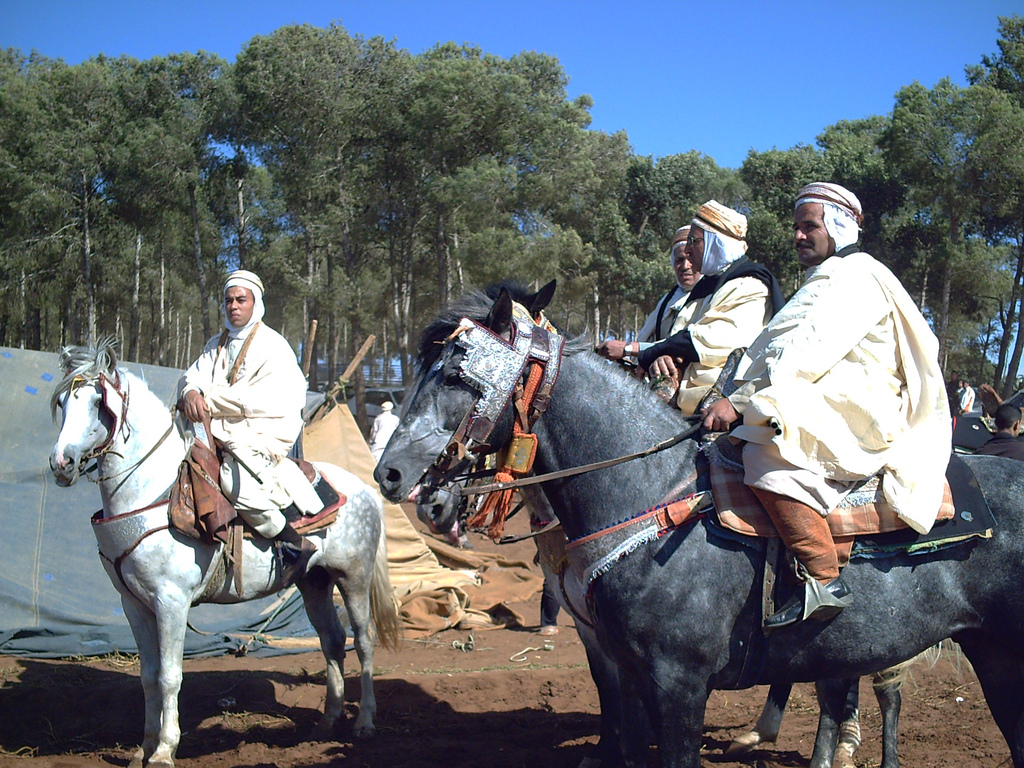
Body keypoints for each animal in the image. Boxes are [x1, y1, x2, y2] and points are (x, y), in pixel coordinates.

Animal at [48, 342, 399, 768]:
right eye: (63, 402)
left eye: (100, 403)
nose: (61, 462)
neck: (152, 491)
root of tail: (364, 489)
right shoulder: (135, 605)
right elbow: (148, 677)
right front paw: (142, 748)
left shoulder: (171, 602)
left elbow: (169, 676)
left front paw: (164, 750)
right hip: (313, 583)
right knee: (331, 641)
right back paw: (327, 722)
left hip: (353, 578)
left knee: (363, 640)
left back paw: (364, 722)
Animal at [378, 286, 1024, 768]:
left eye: (457, 374)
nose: (392, 474)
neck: (650, 495)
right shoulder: (624, 666)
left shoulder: (678, 684)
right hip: (986, 654)